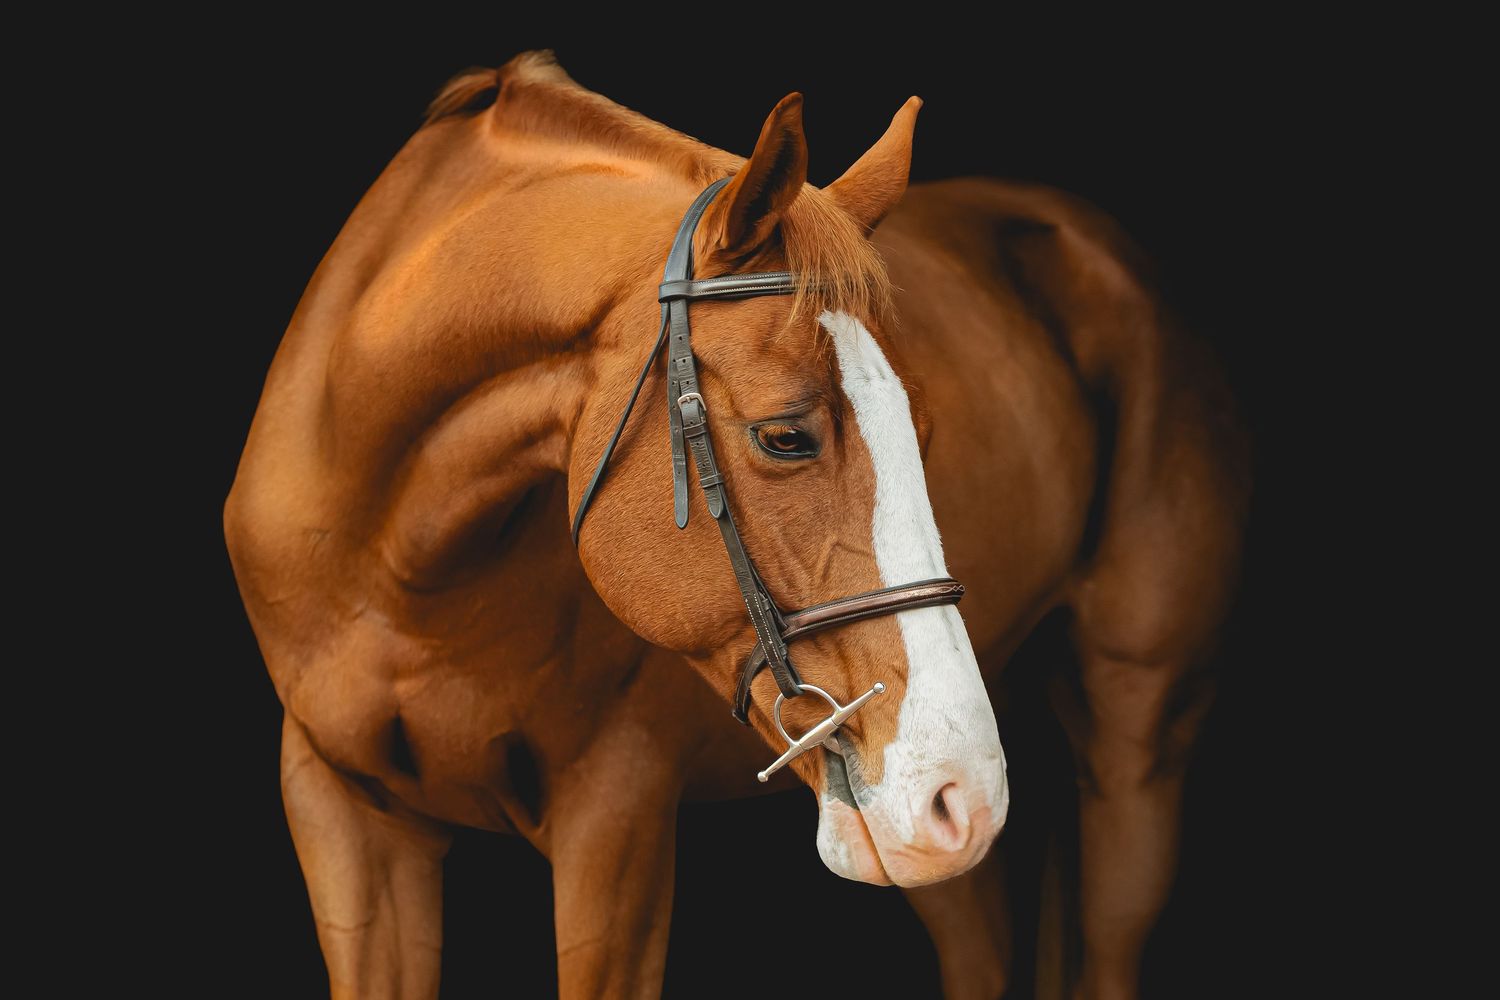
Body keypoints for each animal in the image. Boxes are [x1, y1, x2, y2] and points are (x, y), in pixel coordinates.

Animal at [225, 50, 1248, 1000]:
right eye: (784, 435)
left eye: (921, 428)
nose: (963, 791)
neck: (398, 570)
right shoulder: (342, 818)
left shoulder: (617, 822)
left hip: (1134, 743)